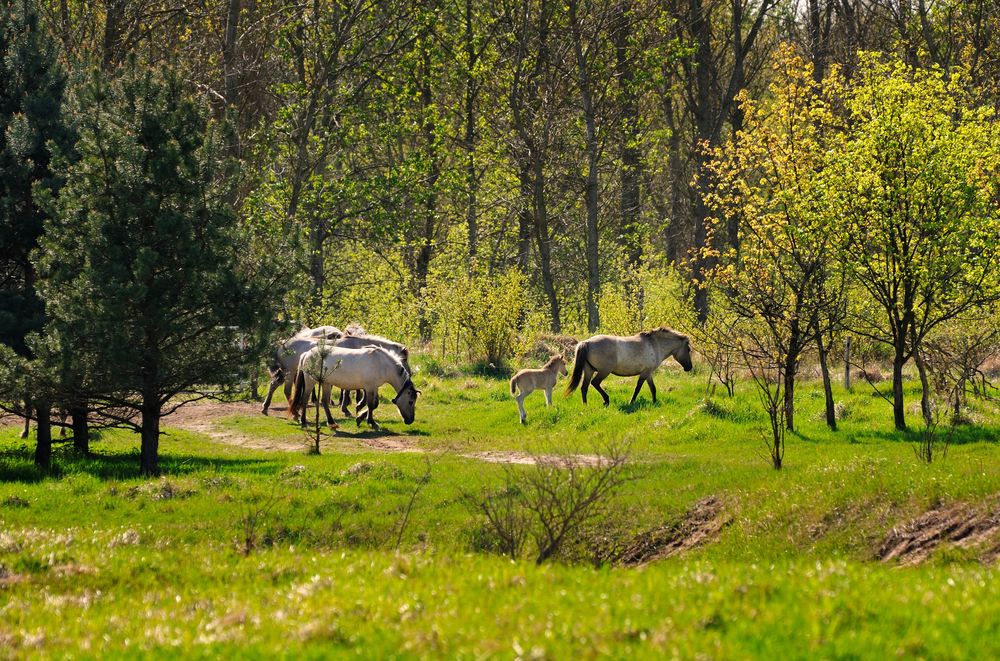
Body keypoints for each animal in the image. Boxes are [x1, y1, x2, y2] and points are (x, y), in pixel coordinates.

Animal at [288, 342, 420, 430]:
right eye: (410, 402)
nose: (410, 420)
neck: (382, 364)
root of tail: (307, 354)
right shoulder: (369, 387)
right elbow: (371, 405)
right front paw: (371, 422)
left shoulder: (374, 387)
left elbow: (374, 404)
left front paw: (360, 418)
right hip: (310, 381)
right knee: (304, 400)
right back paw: (304, 422)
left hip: (326, 383)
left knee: (324, 402)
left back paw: (331, 422)